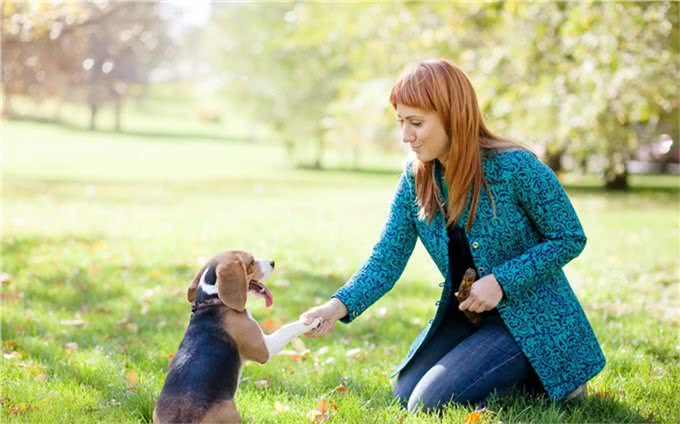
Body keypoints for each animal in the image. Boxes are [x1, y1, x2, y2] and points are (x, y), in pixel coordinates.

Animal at [154, 250, 322, 422]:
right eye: (252, 261)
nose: (273, 262)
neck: (213, 299)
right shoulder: (264, 349)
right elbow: (286, 328)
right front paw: (312, 320)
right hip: (231, 409)